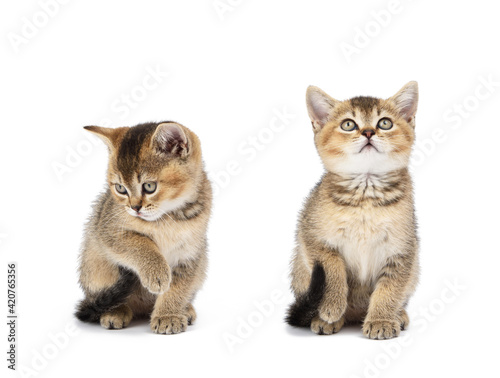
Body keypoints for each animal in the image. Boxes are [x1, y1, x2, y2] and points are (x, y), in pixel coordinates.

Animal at [75, 121, 211, 334]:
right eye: (120, 188)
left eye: (149, 186)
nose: (134, 207)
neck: (169, 217)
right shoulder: (108, 230)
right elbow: (142, 244)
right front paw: (157, 272)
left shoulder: (190, 254)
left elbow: (178, 288)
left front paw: (168, 315)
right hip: (94, 261)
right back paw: (115, 311)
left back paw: (186, 309)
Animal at [288, 82, 420, 340]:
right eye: (348, 124)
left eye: (384, 123)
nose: (368, 132)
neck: (365, 196)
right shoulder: (311, 237)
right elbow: (332, 271)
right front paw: (331, 307)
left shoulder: (402, 249)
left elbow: (390, 288)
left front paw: (381, 319)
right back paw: (326, 319)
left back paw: (398, 315)